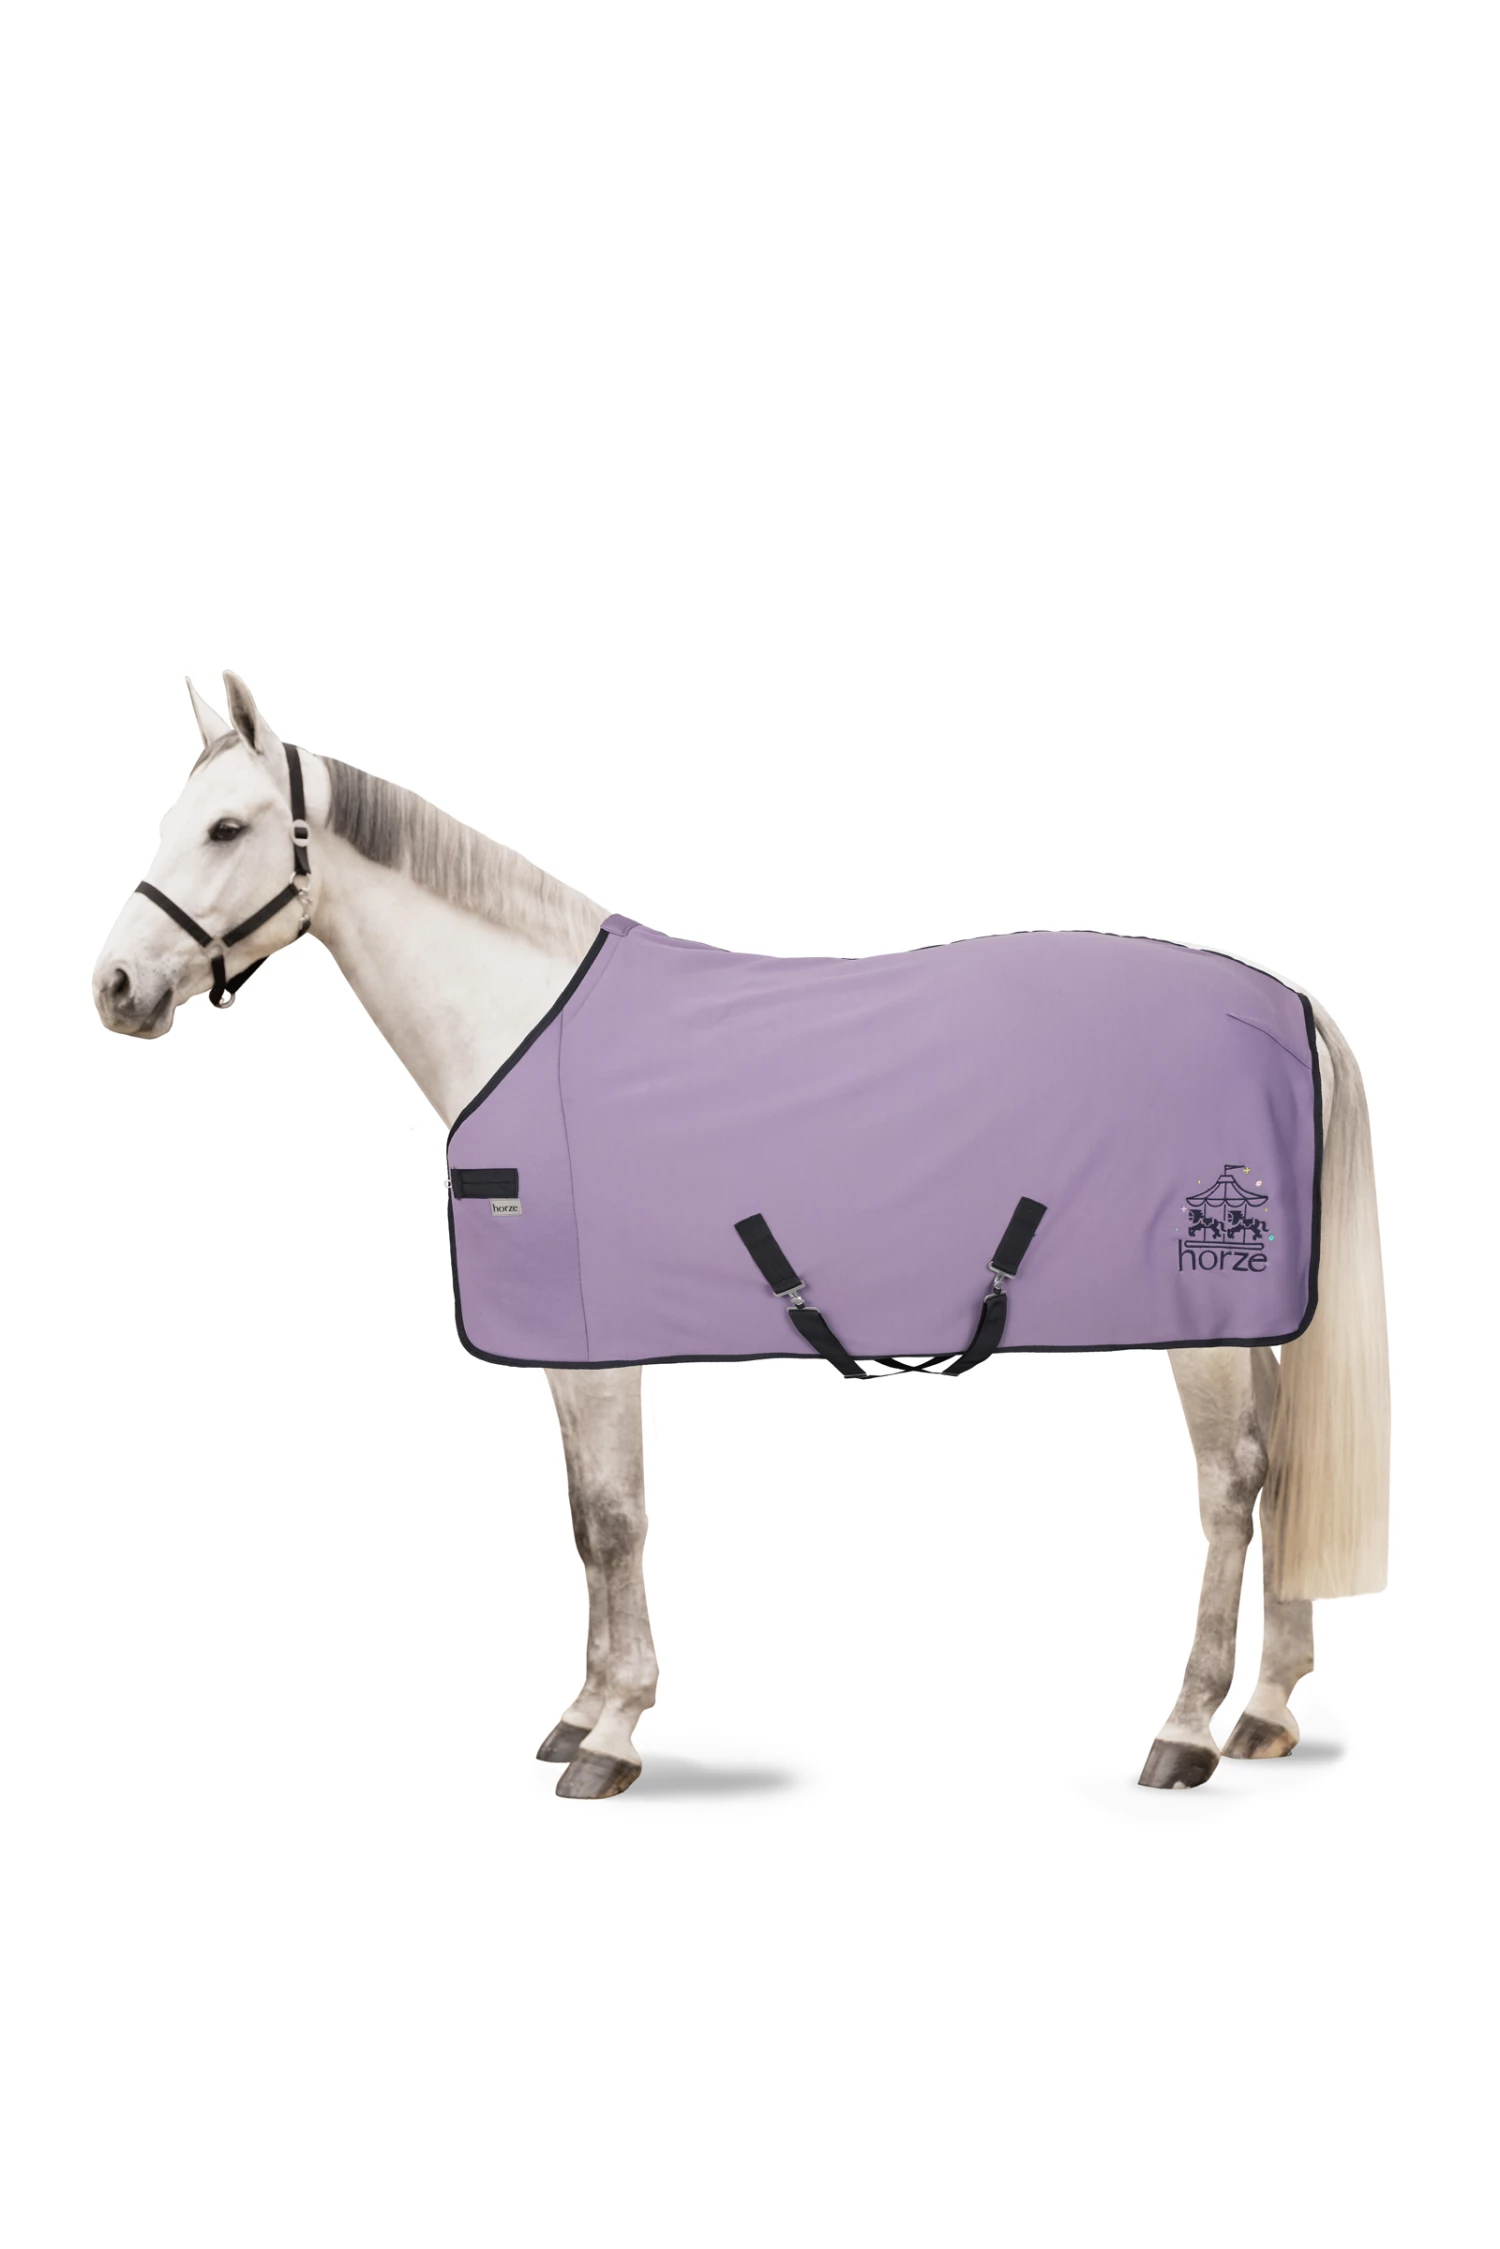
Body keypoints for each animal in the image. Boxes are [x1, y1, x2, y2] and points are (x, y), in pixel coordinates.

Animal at [92, 673, 1390, 1799]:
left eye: (226, 826)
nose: (114, 987)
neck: (521, 1020)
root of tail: (1285, 1001)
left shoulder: (596, 1343)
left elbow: (617, 1519)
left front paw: (612, 1732)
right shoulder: (565, 1353)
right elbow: (584, 1520)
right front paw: (580, 1708)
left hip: (1203, 1322)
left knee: (1231, 1487)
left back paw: (1187, 1726)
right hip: (1253, 1320)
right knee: (1280, 1472)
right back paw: (1266, 1708)